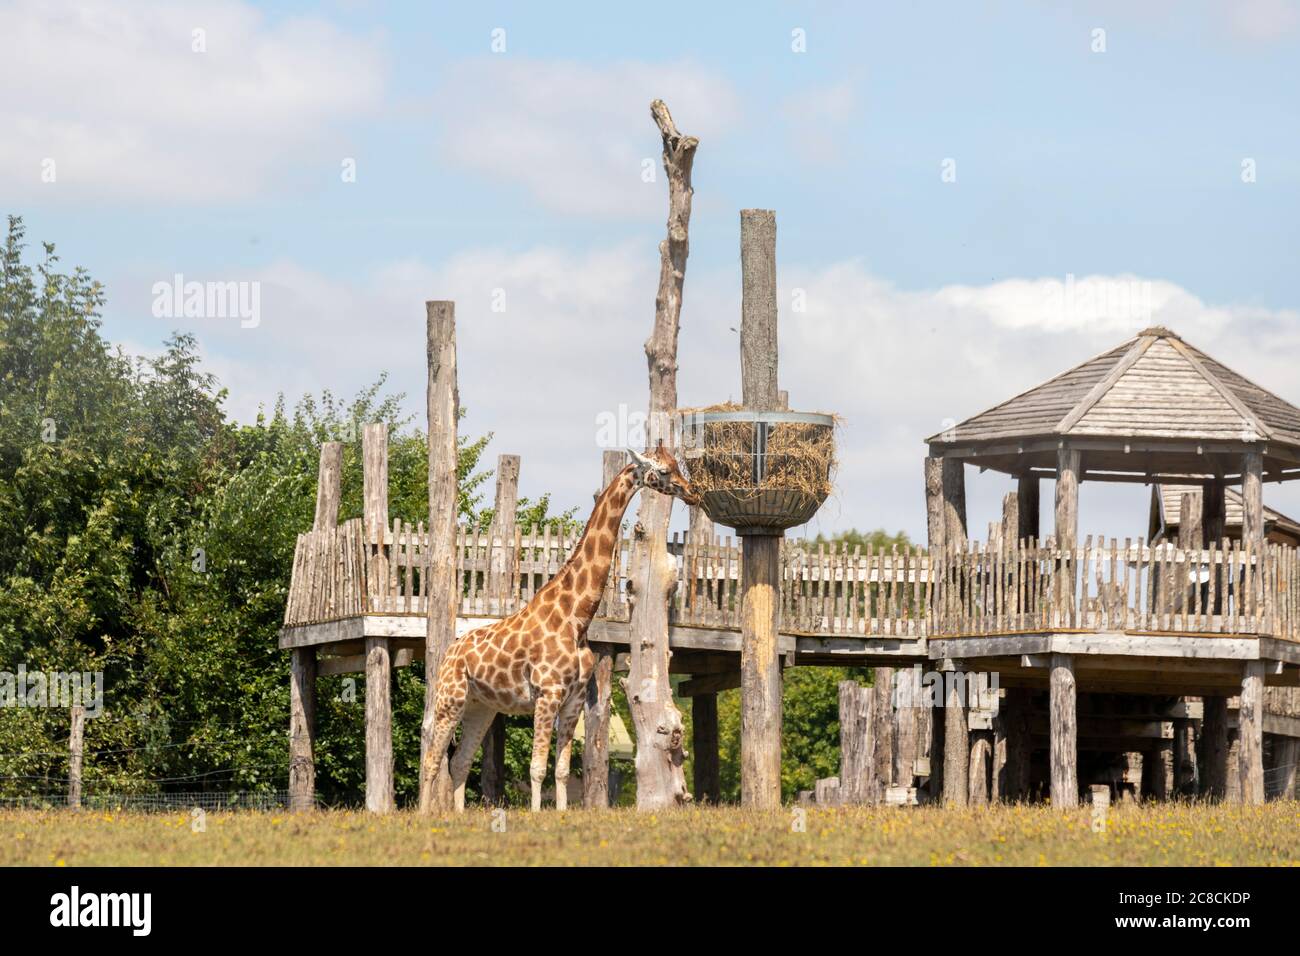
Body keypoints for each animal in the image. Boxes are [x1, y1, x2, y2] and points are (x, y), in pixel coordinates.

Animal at [425, 444, 700, 811]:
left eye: (678, 466)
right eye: (666, 471)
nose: (692, 491)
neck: (577, 619)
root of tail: (450, 652)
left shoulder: (574, 700)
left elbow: (561, 771)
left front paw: (560, 813)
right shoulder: (548, 694)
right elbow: (538, 768)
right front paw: (537, 815)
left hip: (481, 705)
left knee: (460, 761)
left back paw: (455, 815)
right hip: (450, 697)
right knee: (432, 758)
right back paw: (424, 813)